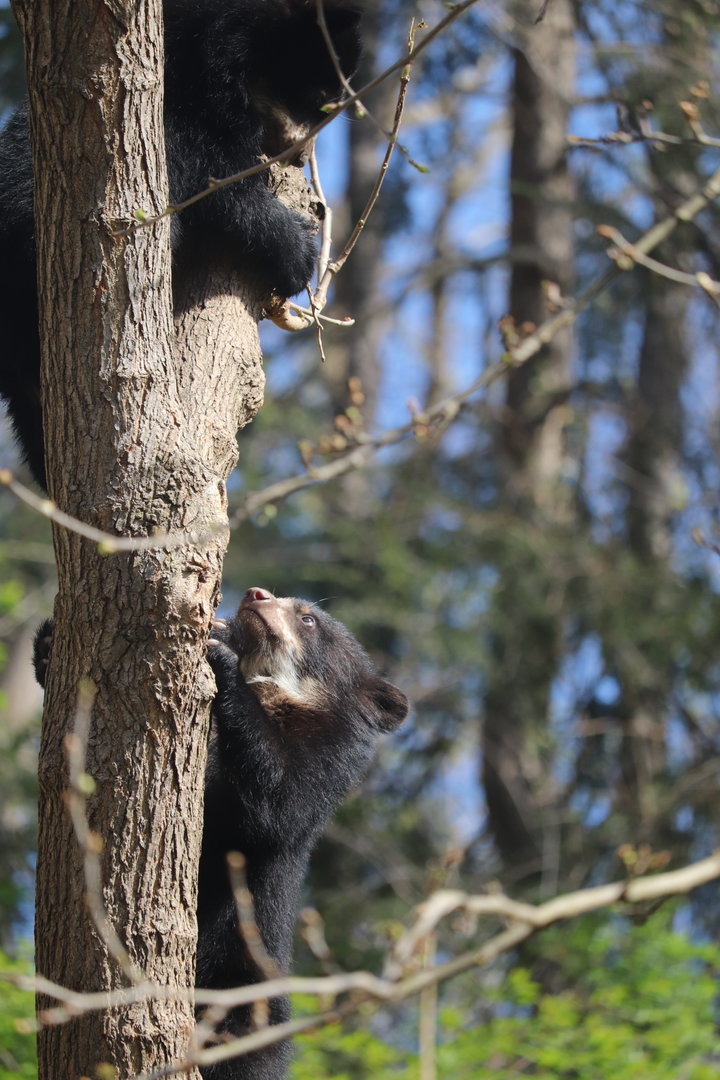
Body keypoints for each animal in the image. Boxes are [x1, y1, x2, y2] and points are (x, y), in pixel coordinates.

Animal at [33, 586, 408, 1079]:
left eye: (307, 619)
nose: (255, 594)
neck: (282, 696)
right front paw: (47, 642)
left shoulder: (321, 763)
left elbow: (273, 807)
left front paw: (223, 659)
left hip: (243, 991)